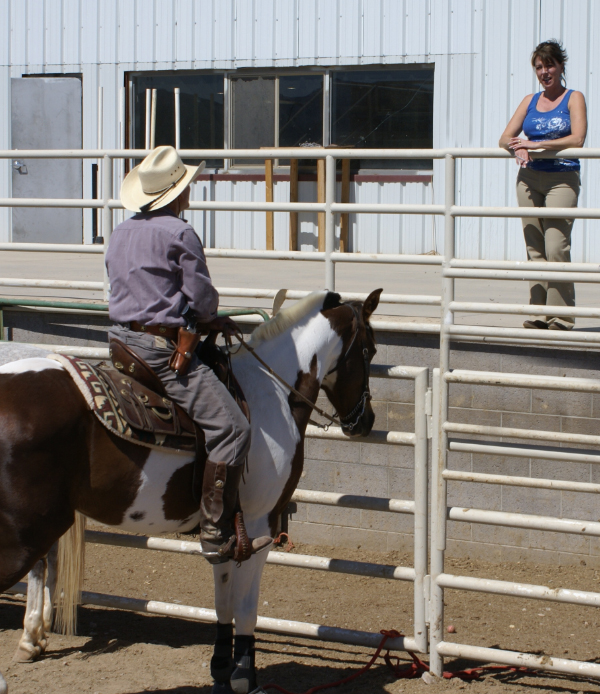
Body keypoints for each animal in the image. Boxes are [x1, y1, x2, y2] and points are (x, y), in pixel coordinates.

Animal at [0, 288, 381, 694]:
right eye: (370, 350)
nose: (365, 421)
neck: (271, 392)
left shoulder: (225, 533)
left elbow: (223, 603)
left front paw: (222, 670)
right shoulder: (259, 526)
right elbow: (246, 609)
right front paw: (245, 677)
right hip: (23, 536)